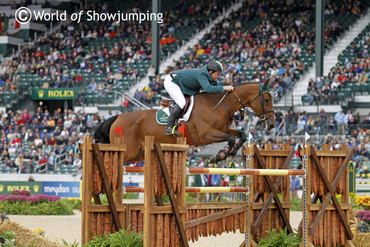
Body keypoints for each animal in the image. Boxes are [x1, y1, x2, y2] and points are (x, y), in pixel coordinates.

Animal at [94, 81, 276, 164]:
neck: (217, 105)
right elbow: (231, 139)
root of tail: (117, 117)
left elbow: (242, 135)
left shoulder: (223, 129)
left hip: (138, 153)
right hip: (128, 152)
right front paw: (219, 156)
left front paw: (224, 154)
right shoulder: (205, 136)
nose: (272, 125)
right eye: (266, 100)